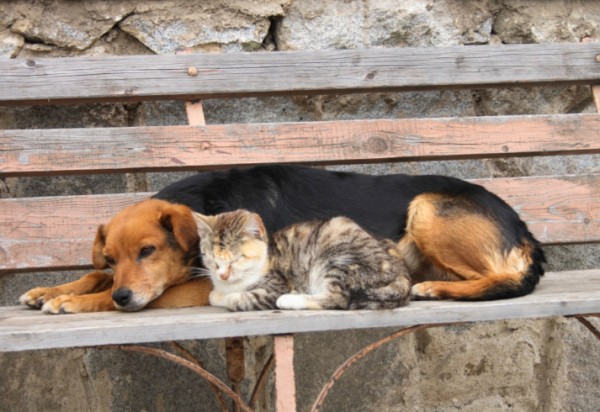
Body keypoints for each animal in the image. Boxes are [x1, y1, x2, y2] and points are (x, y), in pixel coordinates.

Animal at [193, 211, 412, 310]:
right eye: (211, 259)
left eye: (238, 258)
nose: (223, 274)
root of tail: (400, 273)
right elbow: (213, 295)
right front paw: (218, 293)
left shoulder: (274, 286)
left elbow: (236, 298)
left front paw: (229, 297)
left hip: (337, 259)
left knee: (337, 298)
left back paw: (290, 299)